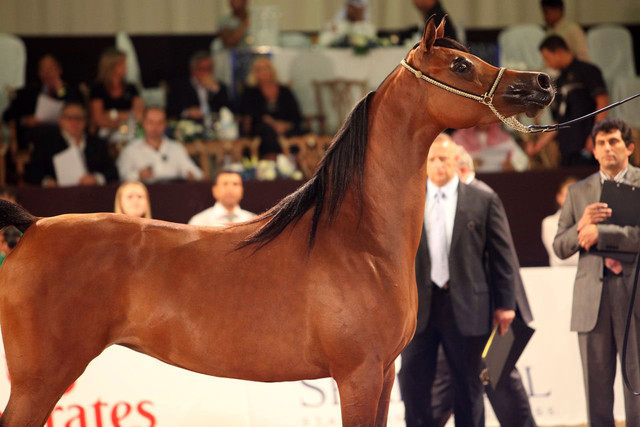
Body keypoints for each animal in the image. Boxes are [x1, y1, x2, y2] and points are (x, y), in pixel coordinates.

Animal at [0, 17, 553, 427]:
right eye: (461, 63)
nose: (541, 83)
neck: (359, 242)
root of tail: (32, 228)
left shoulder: (385, 373)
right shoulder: (358, 375)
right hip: (39, 383)